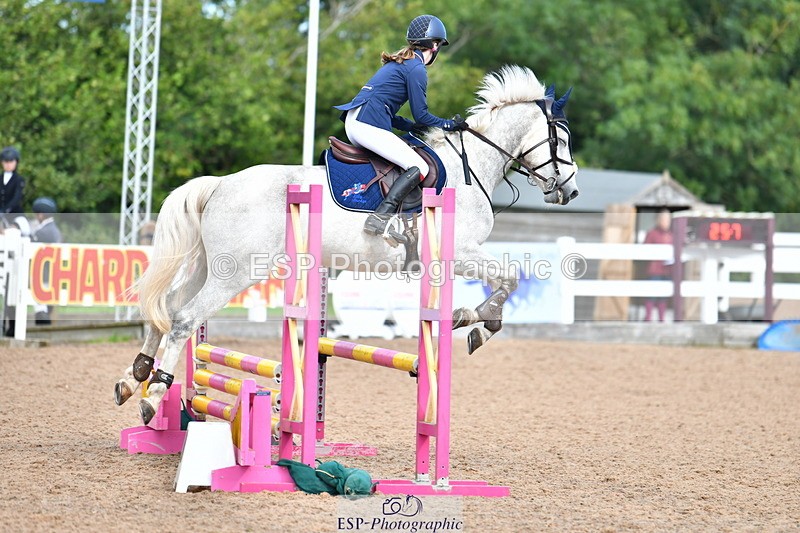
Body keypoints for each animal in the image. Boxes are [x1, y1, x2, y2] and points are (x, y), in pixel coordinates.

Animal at [114, 65, 579, 424]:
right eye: (561, 139)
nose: (570, 191)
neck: (473, 167)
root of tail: (220, 183)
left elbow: (504, 279)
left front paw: (473, 320)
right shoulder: (460, 253)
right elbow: (509, 277)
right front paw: (477, 322)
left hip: (211, 266)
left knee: (168, 306)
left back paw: (133, 378)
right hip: (236, 272)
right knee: (184, 319)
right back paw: (153, 398)